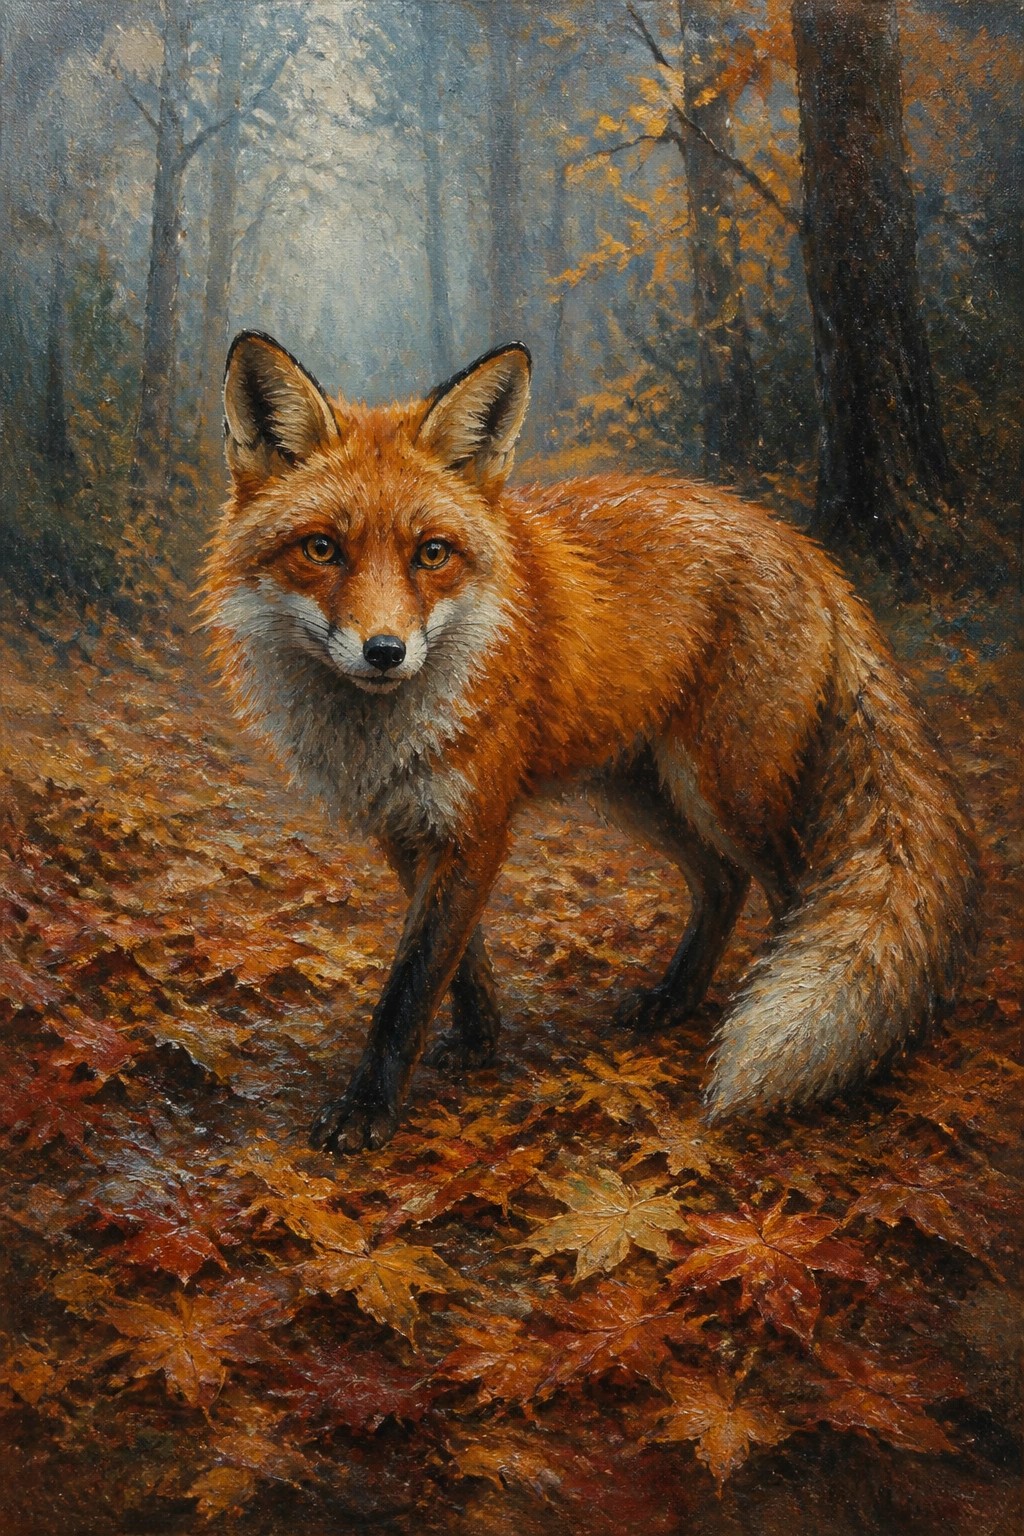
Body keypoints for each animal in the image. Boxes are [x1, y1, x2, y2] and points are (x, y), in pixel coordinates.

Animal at [200, 330, 978, 1154]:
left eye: (432, 554)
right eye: (321, 549)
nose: (385, 651)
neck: (383, 732)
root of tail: (804, 547)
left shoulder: (475, 824)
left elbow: (407, 990)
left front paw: (367, 1110)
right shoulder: (409, 827)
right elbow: (459, 960)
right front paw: (479, 1040)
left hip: (728, 790)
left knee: (797, 891)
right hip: (643, 791)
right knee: (722, 883)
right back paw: (675, 998)